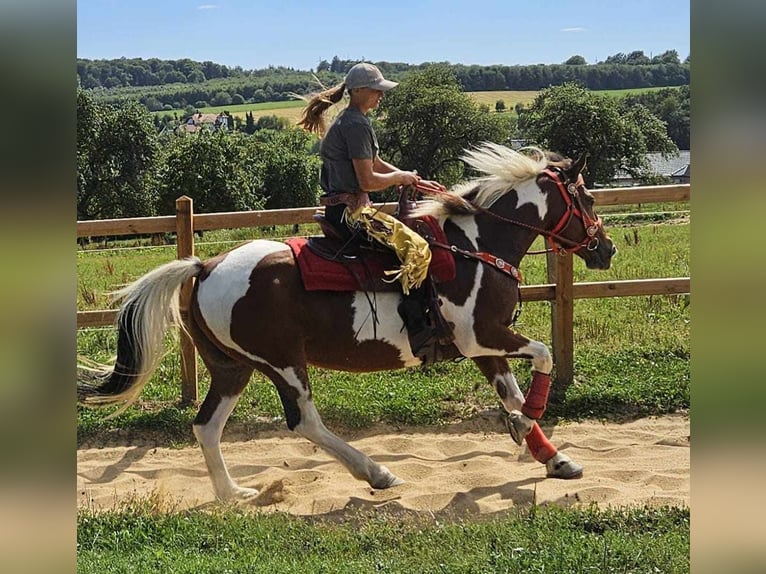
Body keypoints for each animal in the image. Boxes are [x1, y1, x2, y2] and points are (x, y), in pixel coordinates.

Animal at [78, 145, 616, 504]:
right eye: (587, 199)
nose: (605, 249)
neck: (475, 246)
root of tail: (205, 267)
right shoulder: (480, 336)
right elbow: (542, 356)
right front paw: (528, 422)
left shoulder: (483, 348)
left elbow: (511, 392)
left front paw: (554, 457)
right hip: (282, 362)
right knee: (305, 422)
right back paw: (376, 473)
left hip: (234, 368)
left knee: (207, 425)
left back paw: (234, 493)